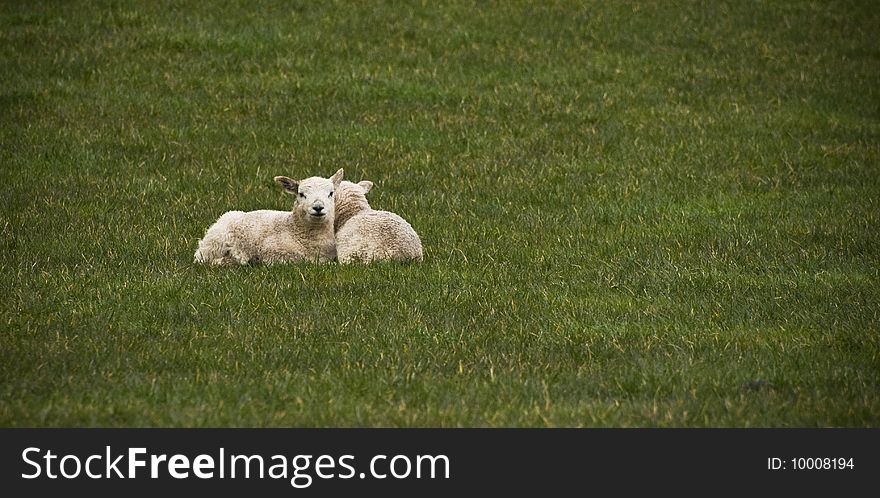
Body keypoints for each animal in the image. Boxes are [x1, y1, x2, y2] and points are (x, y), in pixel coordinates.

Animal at [195, 169, 344, 266]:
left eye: (331, 193)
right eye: (301, 194)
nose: (318, 207)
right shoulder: (273, 252)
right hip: (213, 244)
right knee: (202, 259)